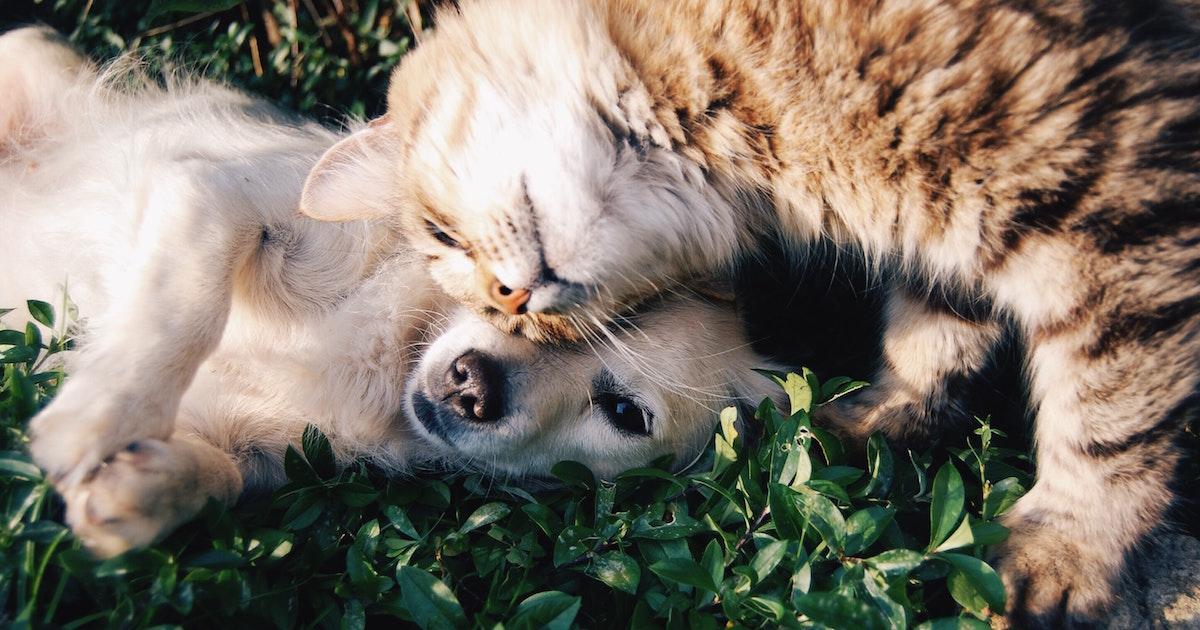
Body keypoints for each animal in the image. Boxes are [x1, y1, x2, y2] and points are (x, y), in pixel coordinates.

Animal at [2, 27, 777, 554]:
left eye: (623, 412)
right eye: (512, 294)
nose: (472, 386)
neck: (392, 354)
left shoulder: (263, 450)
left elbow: (222, 477)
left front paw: (140, 490)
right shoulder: (215, 193)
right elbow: (183, 309)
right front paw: (96, 418)